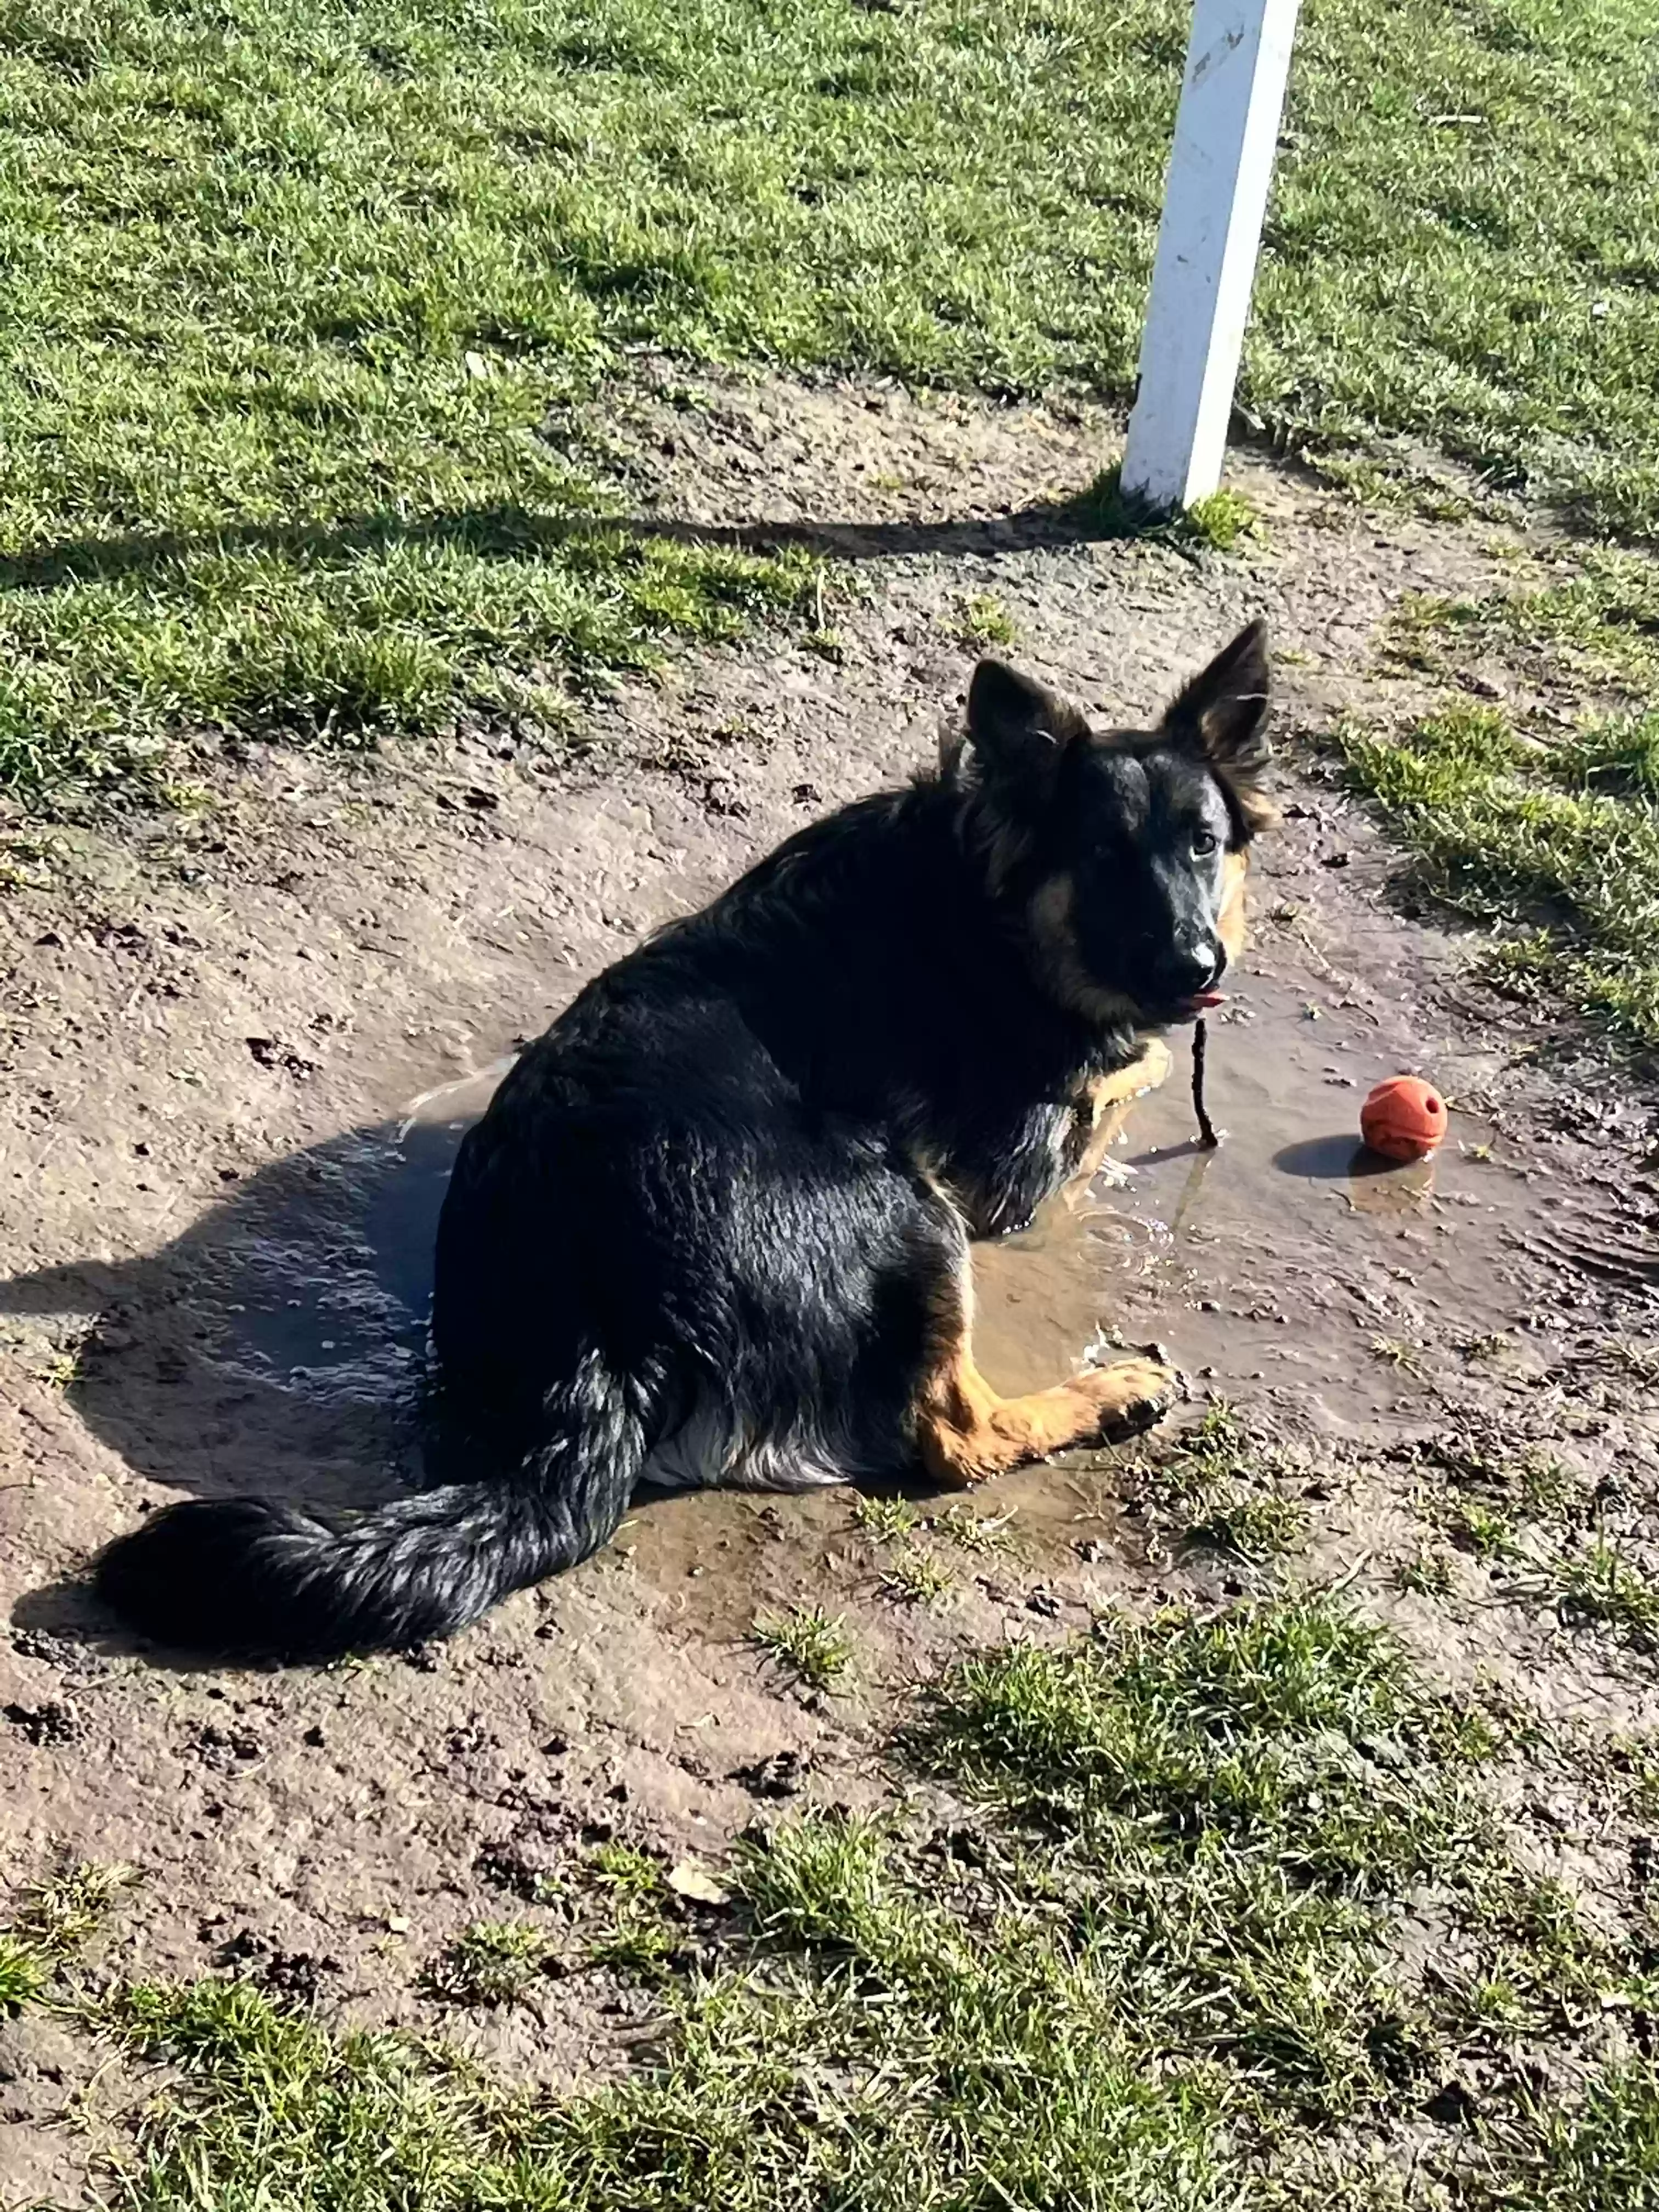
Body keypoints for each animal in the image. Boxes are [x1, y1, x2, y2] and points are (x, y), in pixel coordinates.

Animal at [97, 614, 1283, 1654]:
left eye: (1202, 846)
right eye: (1104, 859)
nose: (1195, 968)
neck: (985, 893)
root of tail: (596, 1327)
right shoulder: (1013, 1173)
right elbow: (1107, 1113)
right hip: (904, 1207)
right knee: (955, 1434)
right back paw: (1104, 1394)